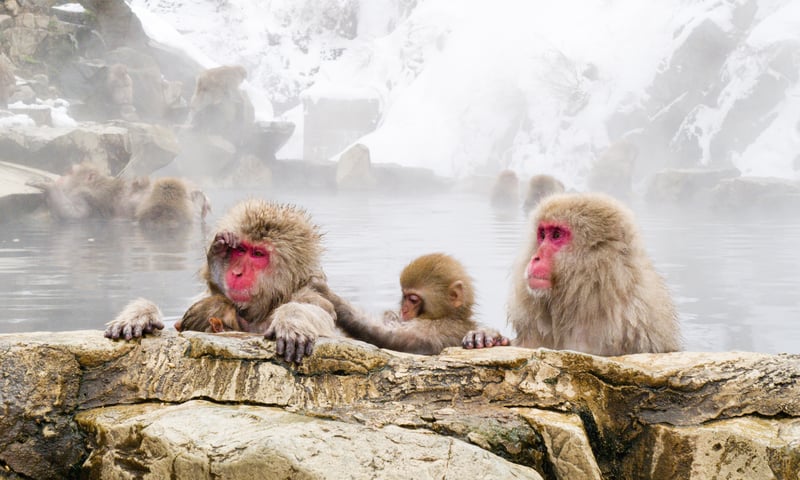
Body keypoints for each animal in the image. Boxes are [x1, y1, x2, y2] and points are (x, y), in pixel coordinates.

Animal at [106, 199, 360, 364]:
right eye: (240, 250)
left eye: (258, 254)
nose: (236, 273)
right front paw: (139, 315)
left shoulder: (309, 295)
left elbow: (317, 312)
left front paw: (292, 320)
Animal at [335, 253, 480, 355]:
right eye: (404, 296)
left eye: (413, 299)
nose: (403, 310)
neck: (451, 316)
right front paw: (391, 315)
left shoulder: (435, 329)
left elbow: (388, 338)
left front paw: (334, 301)